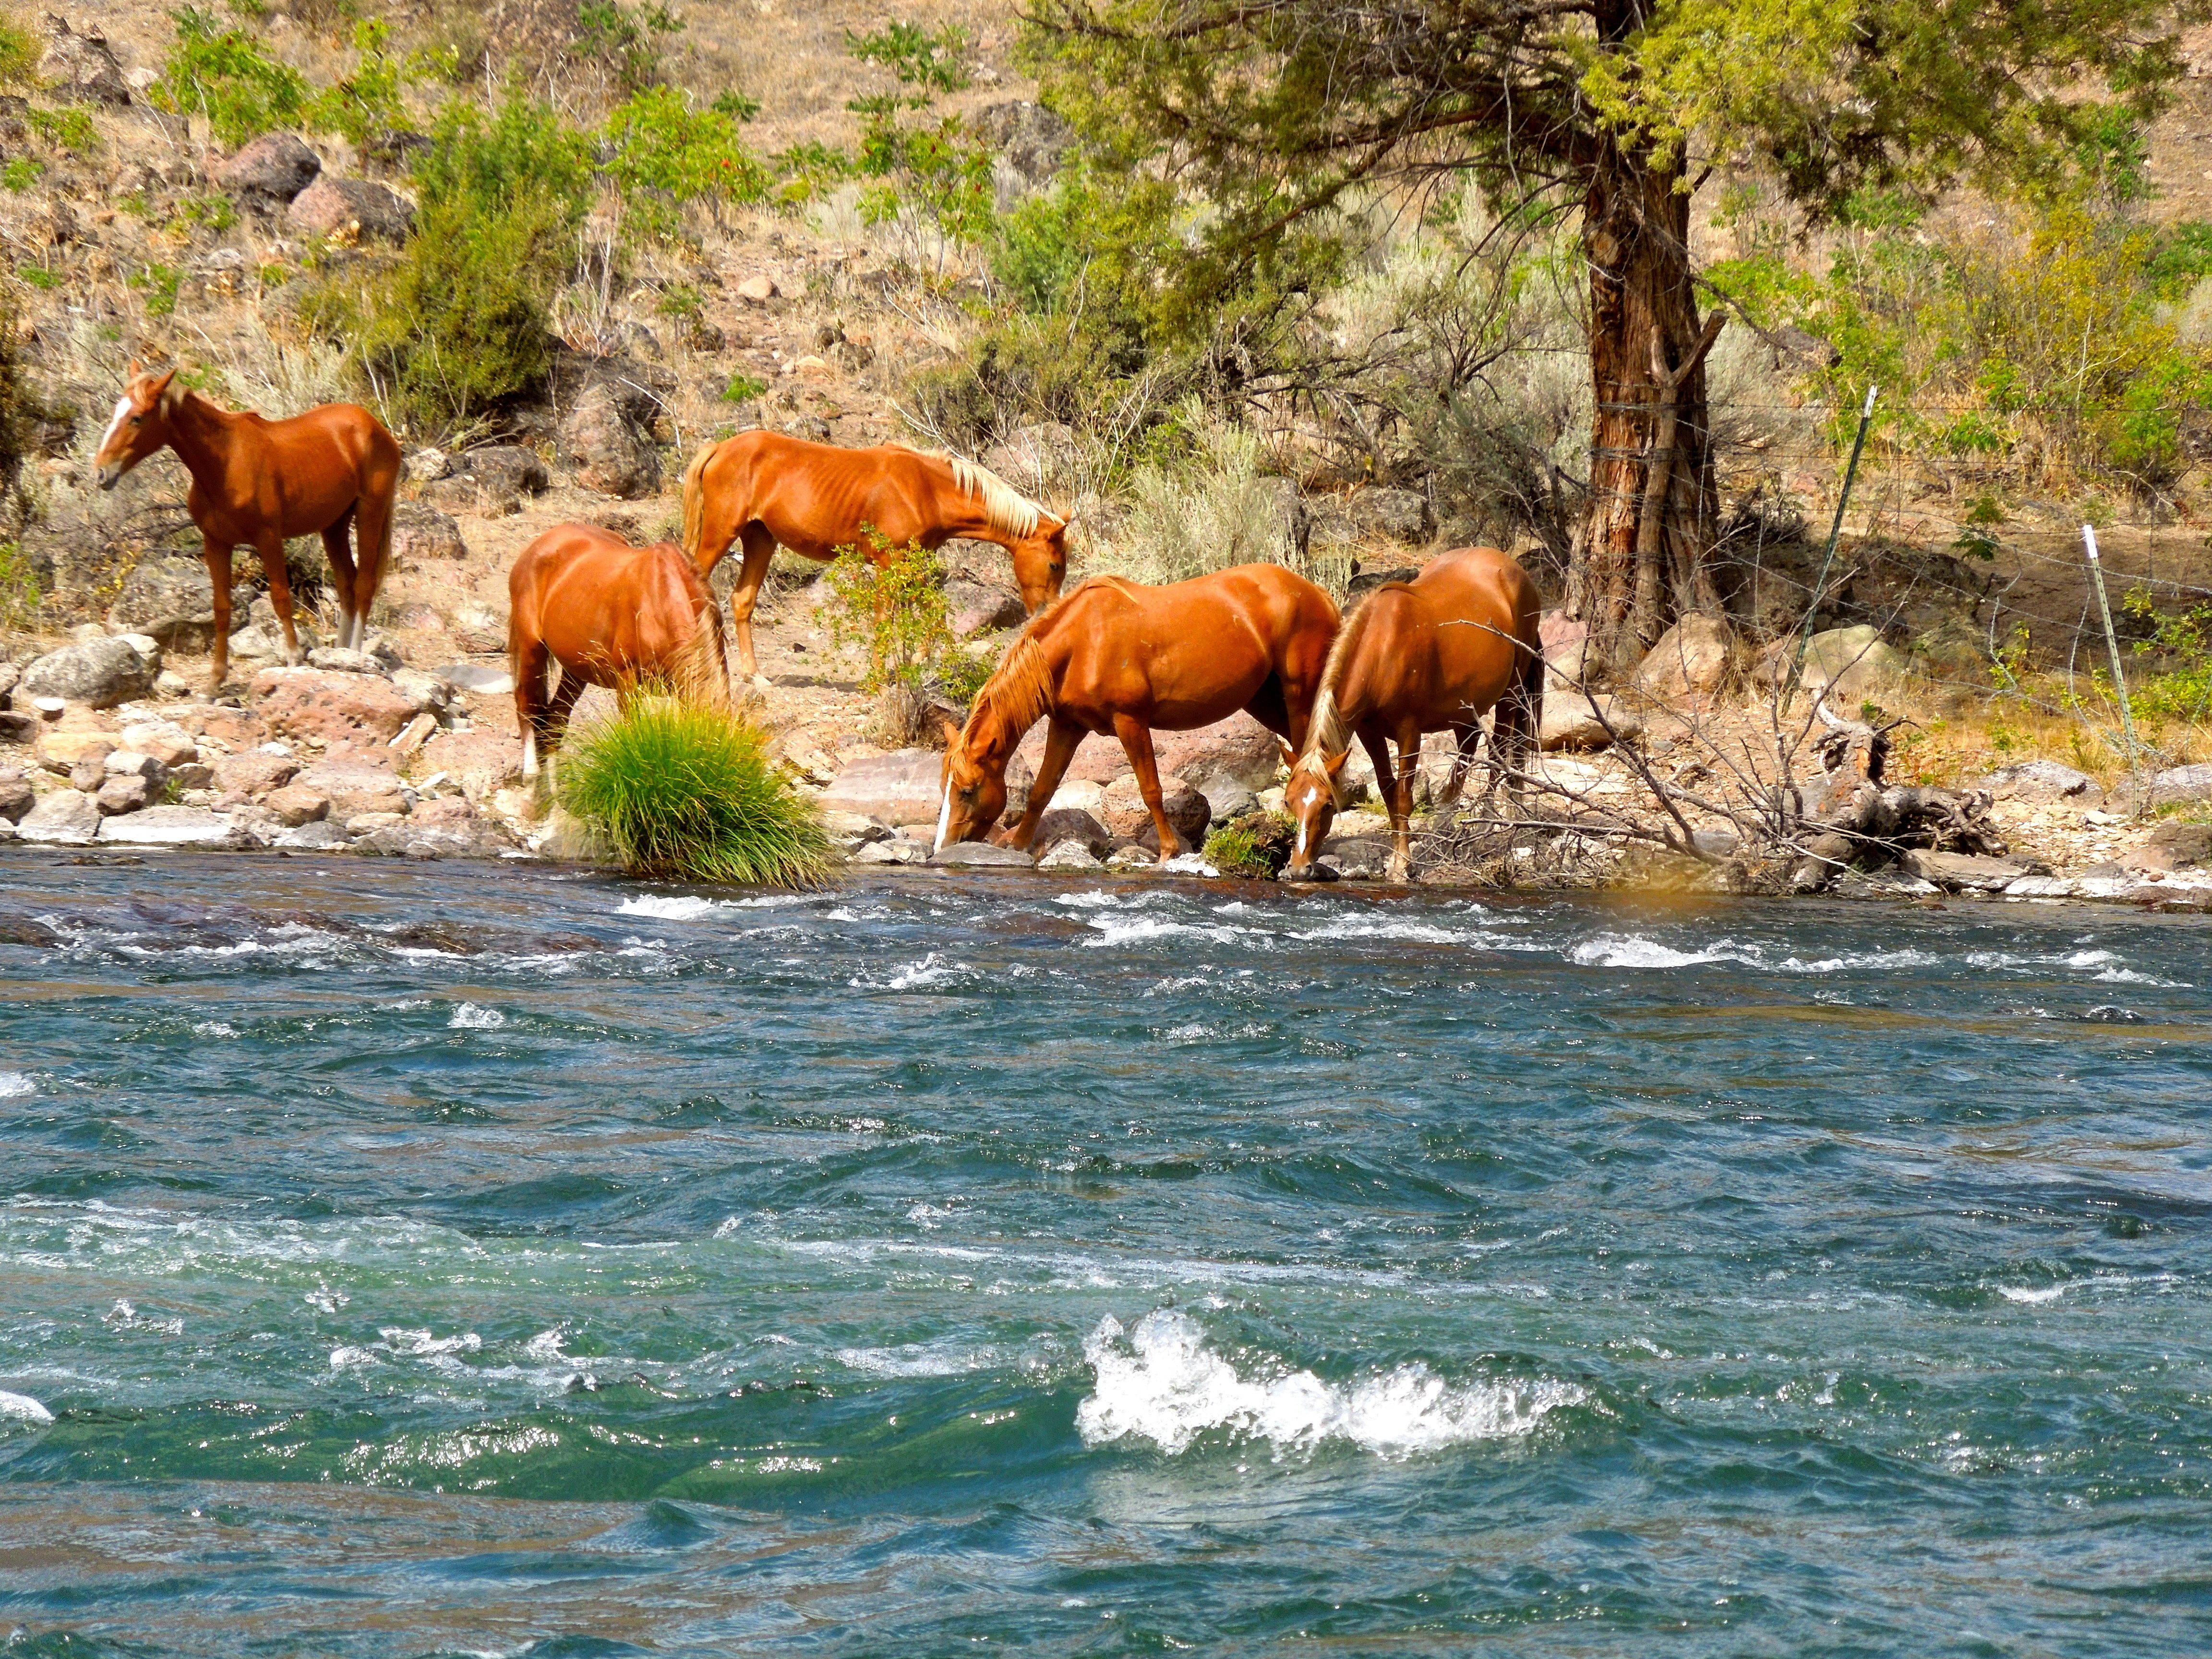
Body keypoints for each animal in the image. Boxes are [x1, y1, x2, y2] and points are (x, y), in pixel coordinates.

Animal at [92, 364, 401, 691]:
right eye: (116, 411)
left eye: (137, 417)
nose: (101, 472)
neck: (226, 461)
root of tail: (375, 427)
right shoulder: (216, 541)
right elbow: (221, 608)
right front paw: (215, 680)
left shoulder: (268, 539)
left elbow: (281, 599)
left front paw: (293, 660)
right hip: (334, 526)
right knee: (346, 586)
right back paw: (341, 655)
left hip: (370, 513)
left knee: (364, 585)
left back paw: (355, 655)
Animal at [507, 523, 732, 778]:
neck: (660, 599)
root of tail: (538, 545)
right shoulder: (628, 683)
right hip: (531, 648)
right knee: (526, 705)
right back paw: (531, 775)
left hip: (576, 670)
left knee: (554, 721)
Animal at [680, 431, 1070, 680]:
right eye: (1054, 564)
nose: (1045, 616)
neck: (926, 489)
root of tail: (719, 448)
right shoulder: (889, 564)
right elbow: (885, 618)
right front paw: (881, 676)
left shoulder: (913, 563)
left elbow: (935, 612)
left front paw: (922, 660)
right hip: (720, 534)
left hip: (760, 539)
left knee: (742, 600)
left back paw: (753, 675)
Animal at [935, 564, 1340, 859]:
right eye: (945, 787)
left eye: (967, 791)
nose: (943, 848)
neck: (1083, 643)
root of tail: (1317, 593)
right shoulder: (1067, 726)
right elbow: (1042, 790)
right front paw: (1019, 846)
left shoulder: (1130, 722)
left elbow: (1151, 790)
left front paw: (1169, 851)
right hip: (1265, 702)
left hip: (1300, 698)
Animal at [1281, 546, 1544, 884]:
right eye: (1289, 802)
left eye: (1328, 805)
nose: (1299, 868)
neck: (1383, 648)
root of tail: (1516, 571)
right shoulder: (1370, 733)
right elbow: (1388, 792)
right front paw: (1398, 857)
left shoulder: (1409, 733)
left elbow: (1405, 797)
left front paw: (1403, 863)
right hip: (1463, 710)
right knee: (1467, 753)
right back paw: (1445, 830)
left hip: (1512, 693)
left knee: (1502, 750)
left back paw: (1489, 820)